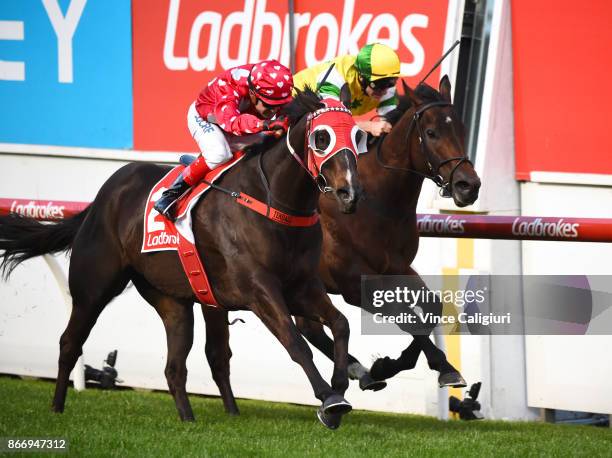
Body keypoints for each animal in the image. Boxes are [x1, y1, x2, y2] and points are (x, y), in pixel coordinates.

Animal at [0, 88, 364, 426]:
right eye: (322, 137)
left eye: (357, 135)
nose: (349, 193)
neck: (272, 202)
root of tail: (103, 197)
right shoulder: (259, 289)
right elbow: (295, 341)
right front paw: (329, 400)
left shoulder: (301, 286)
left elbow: (340, 324)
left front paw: (340, 386)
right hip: (93, 288)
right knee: (69, 343)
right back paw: (57, 407)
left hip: (172, 302)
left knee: (175, 366)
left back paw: (188, 419)